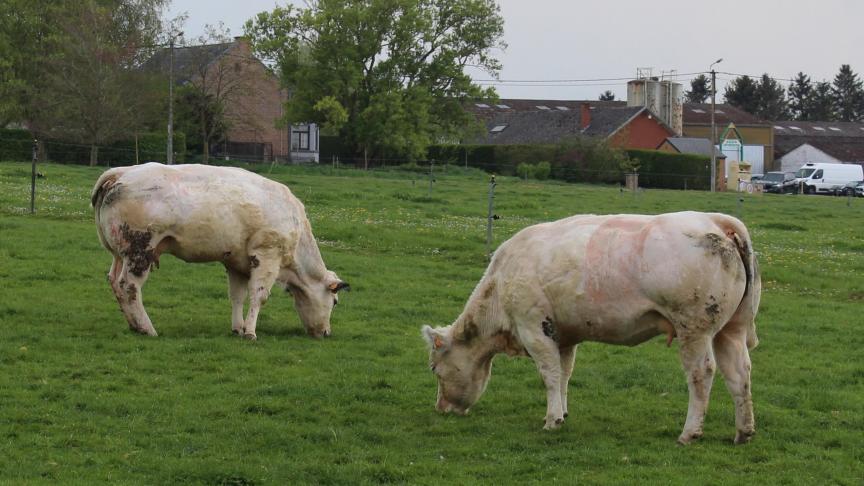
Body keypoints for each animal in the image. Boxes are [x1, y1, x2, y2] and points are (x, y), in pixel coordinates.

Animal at [93, 162, 350, 338]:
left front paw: (238, 328)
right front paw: (251, 332)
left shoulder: (237, 263)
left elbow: (237, 296)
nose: (326, 332)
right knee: (129, 286)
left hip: (119, 253)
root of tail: (120, 172)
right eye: (335, 302)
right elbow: (259, 295)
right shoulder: (267, 256)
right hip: (140, 250)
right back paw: (147, 328)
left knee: (115, 281)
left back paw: (134, 325)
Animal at [422, 211, 760, 446]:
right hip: (731, 330)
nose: (440, 408)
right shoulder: (564, 335)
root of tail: (715, 220)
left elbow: (549, 374)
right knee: (739, 373)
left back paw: (690, 433)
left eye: (435, 370)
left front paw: (552, 419)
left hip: (694, 329)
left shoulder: (533, 327)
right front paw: (563, 412)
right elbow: (564, 373)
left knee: (701, 374)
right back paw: (743, 432)